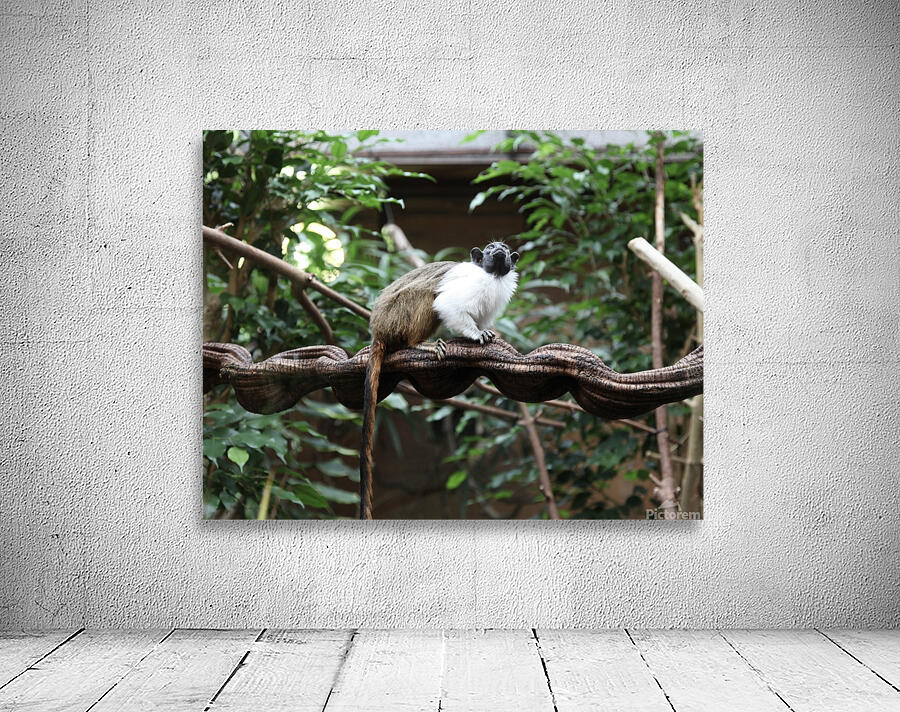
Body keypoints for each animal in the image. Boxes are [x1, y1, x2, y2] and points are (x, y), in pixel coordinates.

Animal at [359, 241, 520, 519]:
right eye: (491, 248)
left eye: (504, 248)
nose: (498, 249)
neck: (493, 277)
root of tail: (377, 328)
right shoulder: (470, 283)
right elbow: (448, 304)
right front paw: (475, 334)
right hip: (396, 316)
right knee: (427, 295)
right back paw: (417, 343)